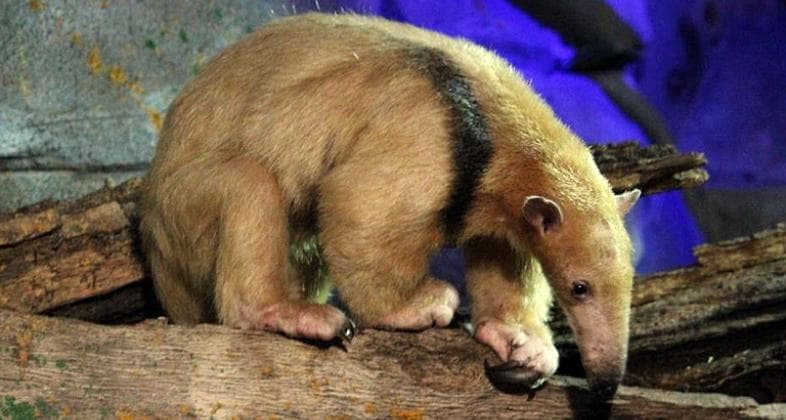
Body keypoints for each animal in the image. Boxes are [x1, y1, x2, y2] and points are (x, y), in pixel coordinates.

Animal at [139, 12, 640, 397]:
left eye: (629, 281)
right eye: (579, 287)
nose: (605, 384)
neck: (495, 127)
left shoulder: (499, 203)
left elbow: (501, 257)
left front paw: (522, 345)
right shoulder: (424, 137)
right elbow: (360, 206)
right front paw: (421, 306)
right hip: (183, 210)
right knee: (249, 184)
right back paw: (294, 315)